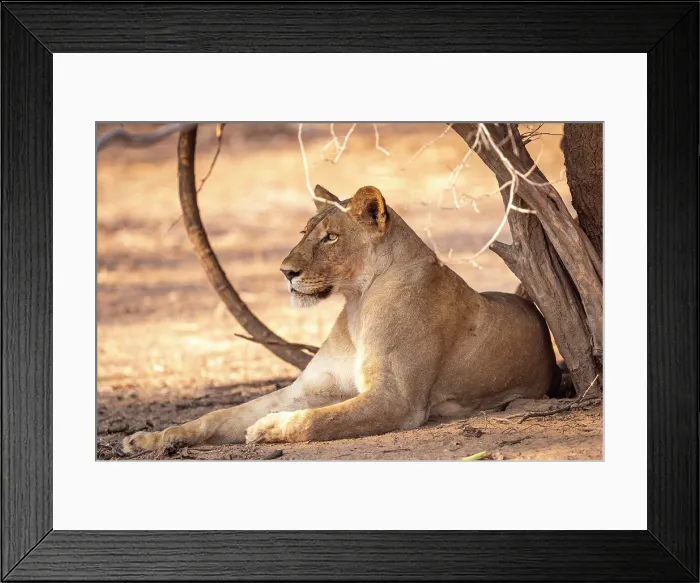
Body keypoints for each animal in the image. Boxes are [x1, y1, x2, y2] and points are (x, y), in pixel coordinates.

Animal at [122, 184, 560, 453]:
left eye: (330, 237)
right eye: (304, 231)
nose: (285, 272)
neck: (356, 304)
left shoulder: (396, 400)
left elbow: (317, 421)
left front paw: (268, 428)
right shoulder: (305, 389)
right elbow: (219, 415)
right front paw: (154, 438)